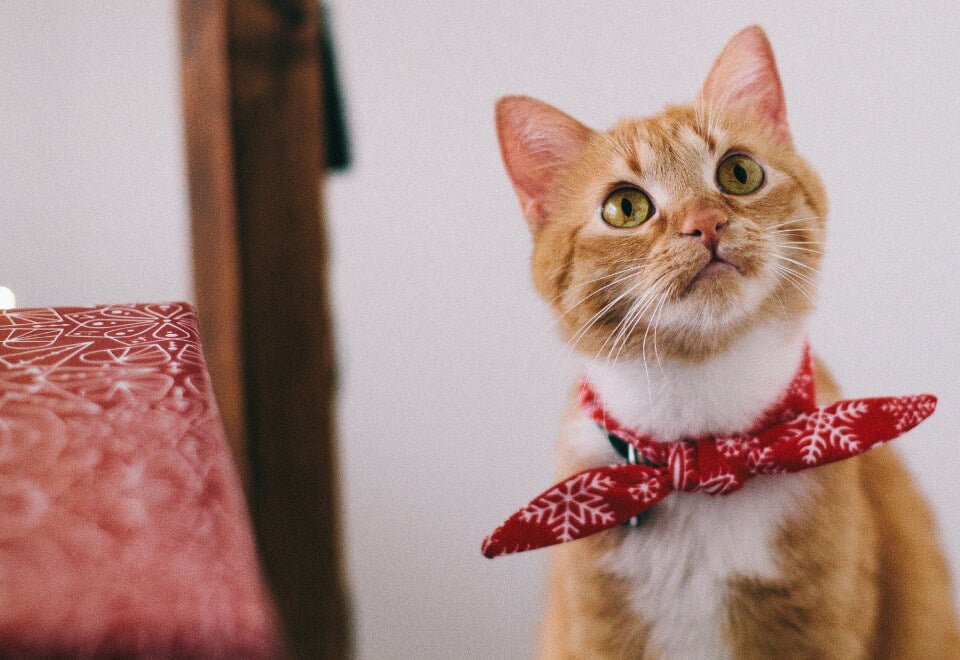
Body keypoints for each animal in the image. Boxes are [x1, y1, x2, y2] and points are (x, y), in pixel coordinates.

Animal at [496, 23, 960, 656]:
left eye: (739, 173)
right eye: (625, 207)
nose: (705, 222)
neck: (706, 453)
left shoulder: (820, 628)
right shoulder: (597, 632)